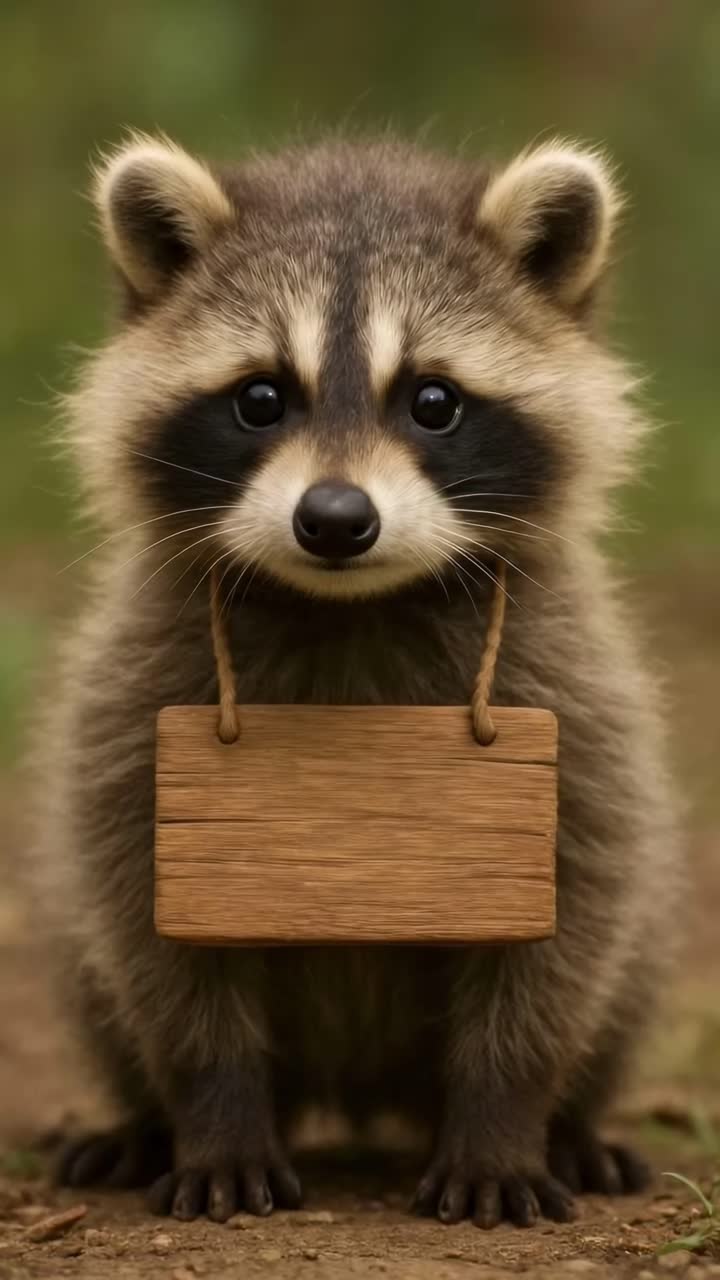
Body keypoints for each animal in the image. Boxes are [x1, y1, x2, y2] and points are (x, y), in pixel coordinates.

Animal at [36, 133, 679, 1228]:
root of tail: (359, 1095)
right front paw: (214, 1109)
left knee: (625, 960)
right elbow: (153, 921)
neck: (349, 603)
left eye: (433, 400)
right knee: (94, 958)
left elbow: (566, 910)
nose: (335, 519)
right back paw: (142, 1121)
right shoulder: (133, 691)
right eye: (260, 398)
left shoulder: (573, 690)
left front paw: (505, 1116)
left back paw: (574, 1125)